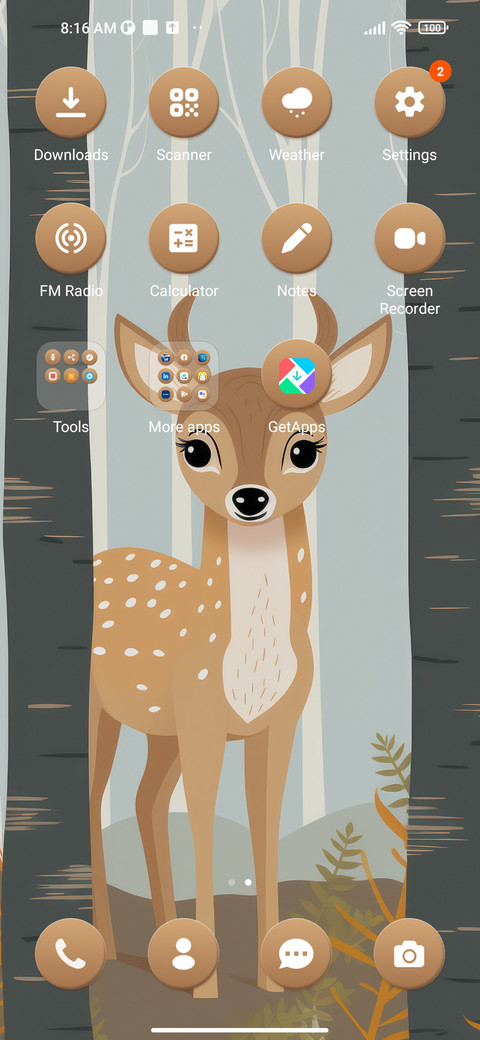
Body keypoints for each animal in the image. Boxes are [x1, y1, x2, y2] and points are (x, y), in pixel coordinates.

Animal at [89, 293, 391, 998]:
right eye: (196, 448)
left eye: (304, 449)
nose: (250, 498)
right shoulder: (202, 716)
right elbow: (204, 821)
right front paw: (208, 986)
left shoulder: (277, 722)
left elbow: (265, 824)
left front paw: (274, 977)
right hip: (105, 710)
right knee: (94, 800)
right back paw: (116, 946)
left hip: (161, 728)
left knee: (145, 800)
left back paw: (160, 938)